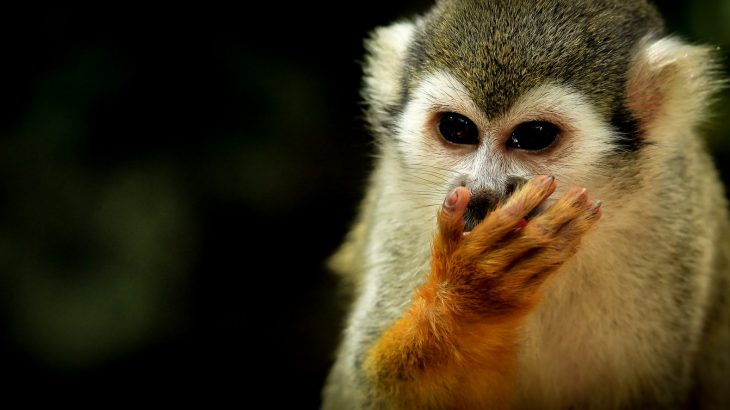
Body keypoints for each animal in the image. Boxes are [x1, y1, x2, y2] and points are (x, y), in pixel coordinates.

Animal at [322, 1, 728, 408]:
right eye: (457, 128)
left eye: (534, 136)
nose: (482, 193)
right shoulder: (401, 212)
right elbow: (369, 392)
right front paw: (470, 298)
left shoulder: (674, 221)